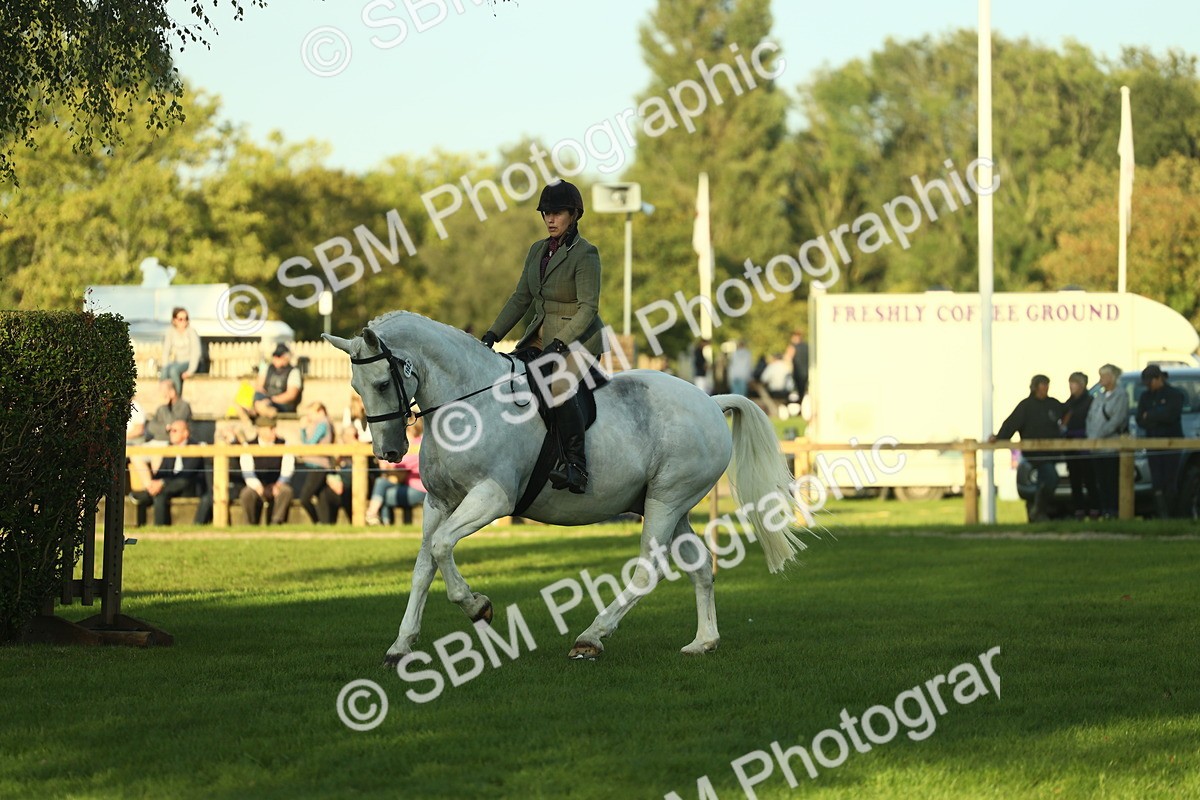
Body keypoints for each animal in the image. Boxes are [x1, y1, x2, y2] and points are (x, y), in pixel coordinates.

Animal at [324, 311, 808, 662]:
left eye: (382, 382)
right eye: (355, 386)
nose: (388, 452)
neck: (467, 405)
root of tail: (710, 399)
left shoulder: (492, 498)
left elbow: (442, 548)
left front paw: (477, 606)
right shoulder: (440, 502)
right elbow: (424, 565)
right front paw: (401, 644)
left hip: (665, 502)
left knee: (647, 570)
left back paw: (591, 638)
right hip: (674, 506)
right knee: (702, 566)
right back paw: (703, 642)